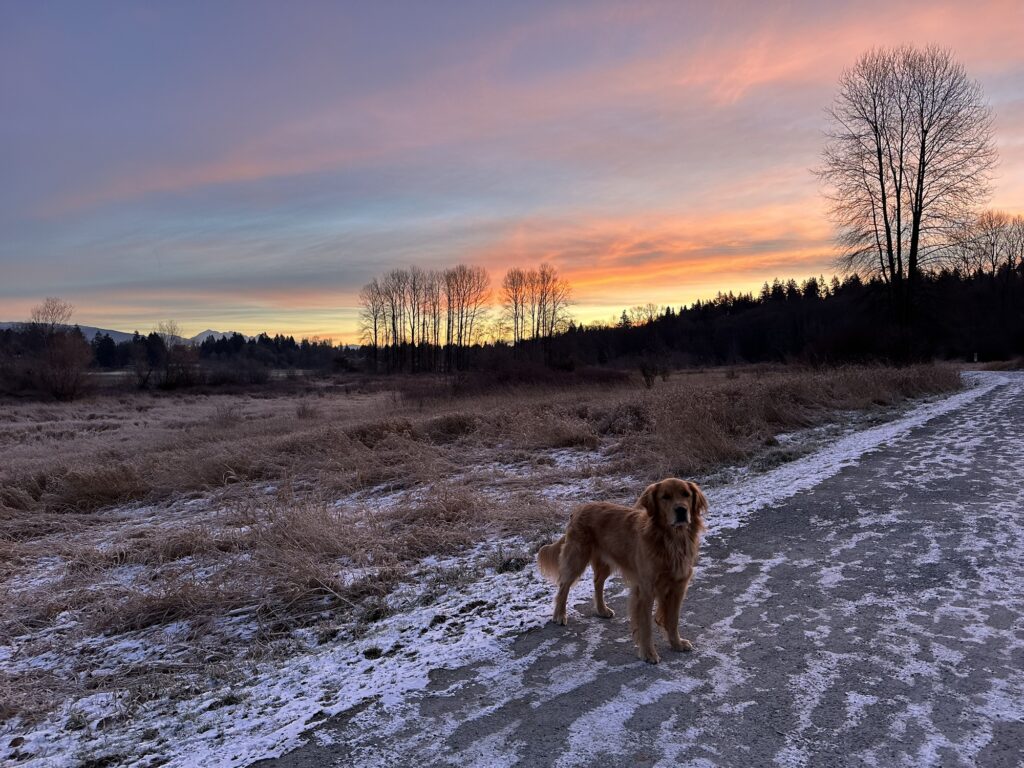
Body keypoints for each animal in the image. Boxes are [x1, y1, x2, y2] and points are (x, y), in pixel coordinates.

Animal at [536, 479, 704, 663]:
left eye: (686, 494)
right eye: (665, 497)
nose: (681, 510)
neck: (671, 541)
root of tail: (579, 509)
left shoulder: (678, 587)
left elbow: (673, 620)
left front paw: (677, 644)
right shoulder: (645, 590)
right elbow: (646, 626)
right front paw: (648, 653)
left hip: (604, 561)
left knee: (597, 582)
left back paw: (602, 610)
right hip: (577, 557)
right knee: (564, 585)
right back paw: (559, 615)